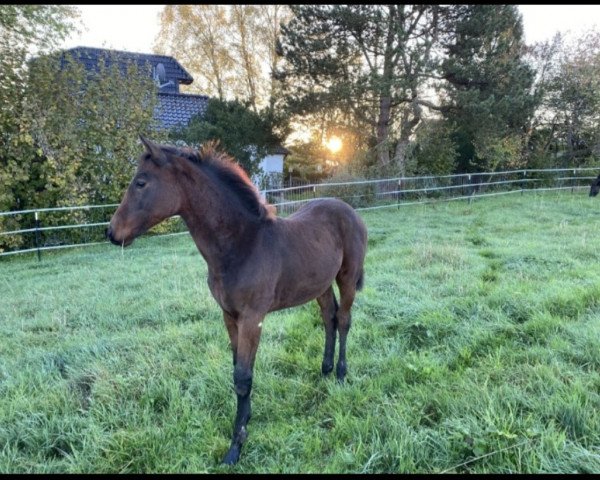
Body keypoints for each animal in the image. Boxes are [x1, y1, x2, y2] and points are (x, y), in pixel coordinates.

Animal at [108, 136, 370, 464]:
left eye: (141, 182)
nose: (111, 232)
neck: (241, 244)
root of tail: (349, 209)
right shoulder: (229, 315)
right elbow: (236, 370)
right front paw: (244, 424)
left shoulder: (251, 318)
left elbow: (243, 377)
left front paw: (236, 447)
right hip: (319, 284)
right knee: (329, 318)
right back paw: (325, 371)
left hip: (347, 278)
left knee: (344, 319)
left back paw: (341, 375)